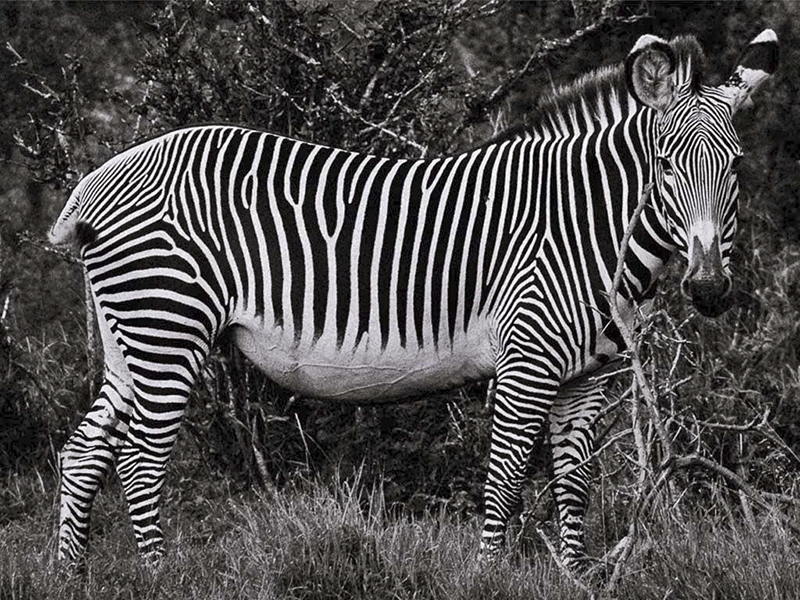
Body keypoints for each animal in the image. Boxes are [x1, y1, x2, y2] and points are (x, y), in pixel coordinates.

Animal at [48, 29, 776, 568]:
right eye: (666, 165)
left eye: (737, 166)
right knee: (141, 461)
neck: (586, 226)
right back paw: (155, 575)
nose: (710, 288)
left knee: (84, 452)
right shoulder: (526, 365)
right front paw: (488, 577)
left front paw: (575, 578)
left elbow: (573, 488)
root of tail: (104, 173)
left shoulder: (585, 381)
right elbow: (504, 480)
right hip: (167, 326)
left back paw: (70, 575)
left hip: (130, 337)